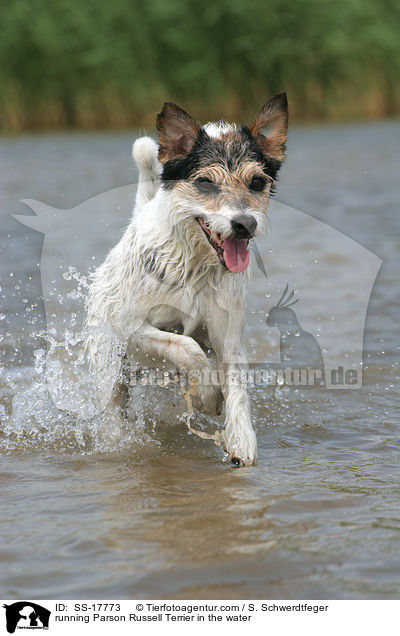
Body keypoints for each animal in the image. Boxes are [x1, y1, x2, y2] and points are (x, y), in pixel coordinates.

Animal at [86, 92, 288, 464]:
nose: (244, 223)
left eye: (257, 182)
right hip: (110, 361)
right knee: (114, 400)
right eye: (205, 182)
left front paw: (241, 442)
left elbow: (237, 386)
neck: (195, 267)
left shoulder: (228, 338)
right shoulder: (133, 329)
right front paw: (208, 395)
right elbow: (186, 346)